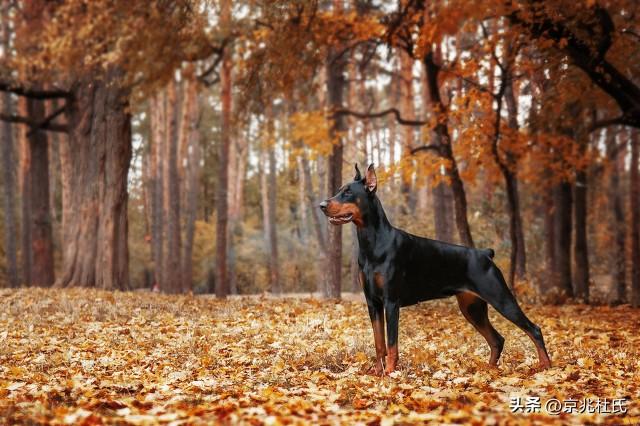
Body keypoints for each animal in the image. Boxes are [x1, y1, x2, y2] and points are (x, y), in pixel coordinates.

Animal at [320, 164, 552, 376]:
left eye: (348, 192)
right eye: (339, 190)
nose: (322, 205)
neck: (373, 243)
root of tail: (485, 253)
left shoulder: (391, 302)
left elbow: (392, 344)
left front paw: (391, 374)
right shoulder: (373, 303)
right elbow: (379, 344)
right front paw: (378, 373)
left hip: (500, 298)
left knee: (534, 329)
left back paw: (545, 366)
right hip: (472, 308)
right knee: (497, 339)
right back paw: (488, 370)